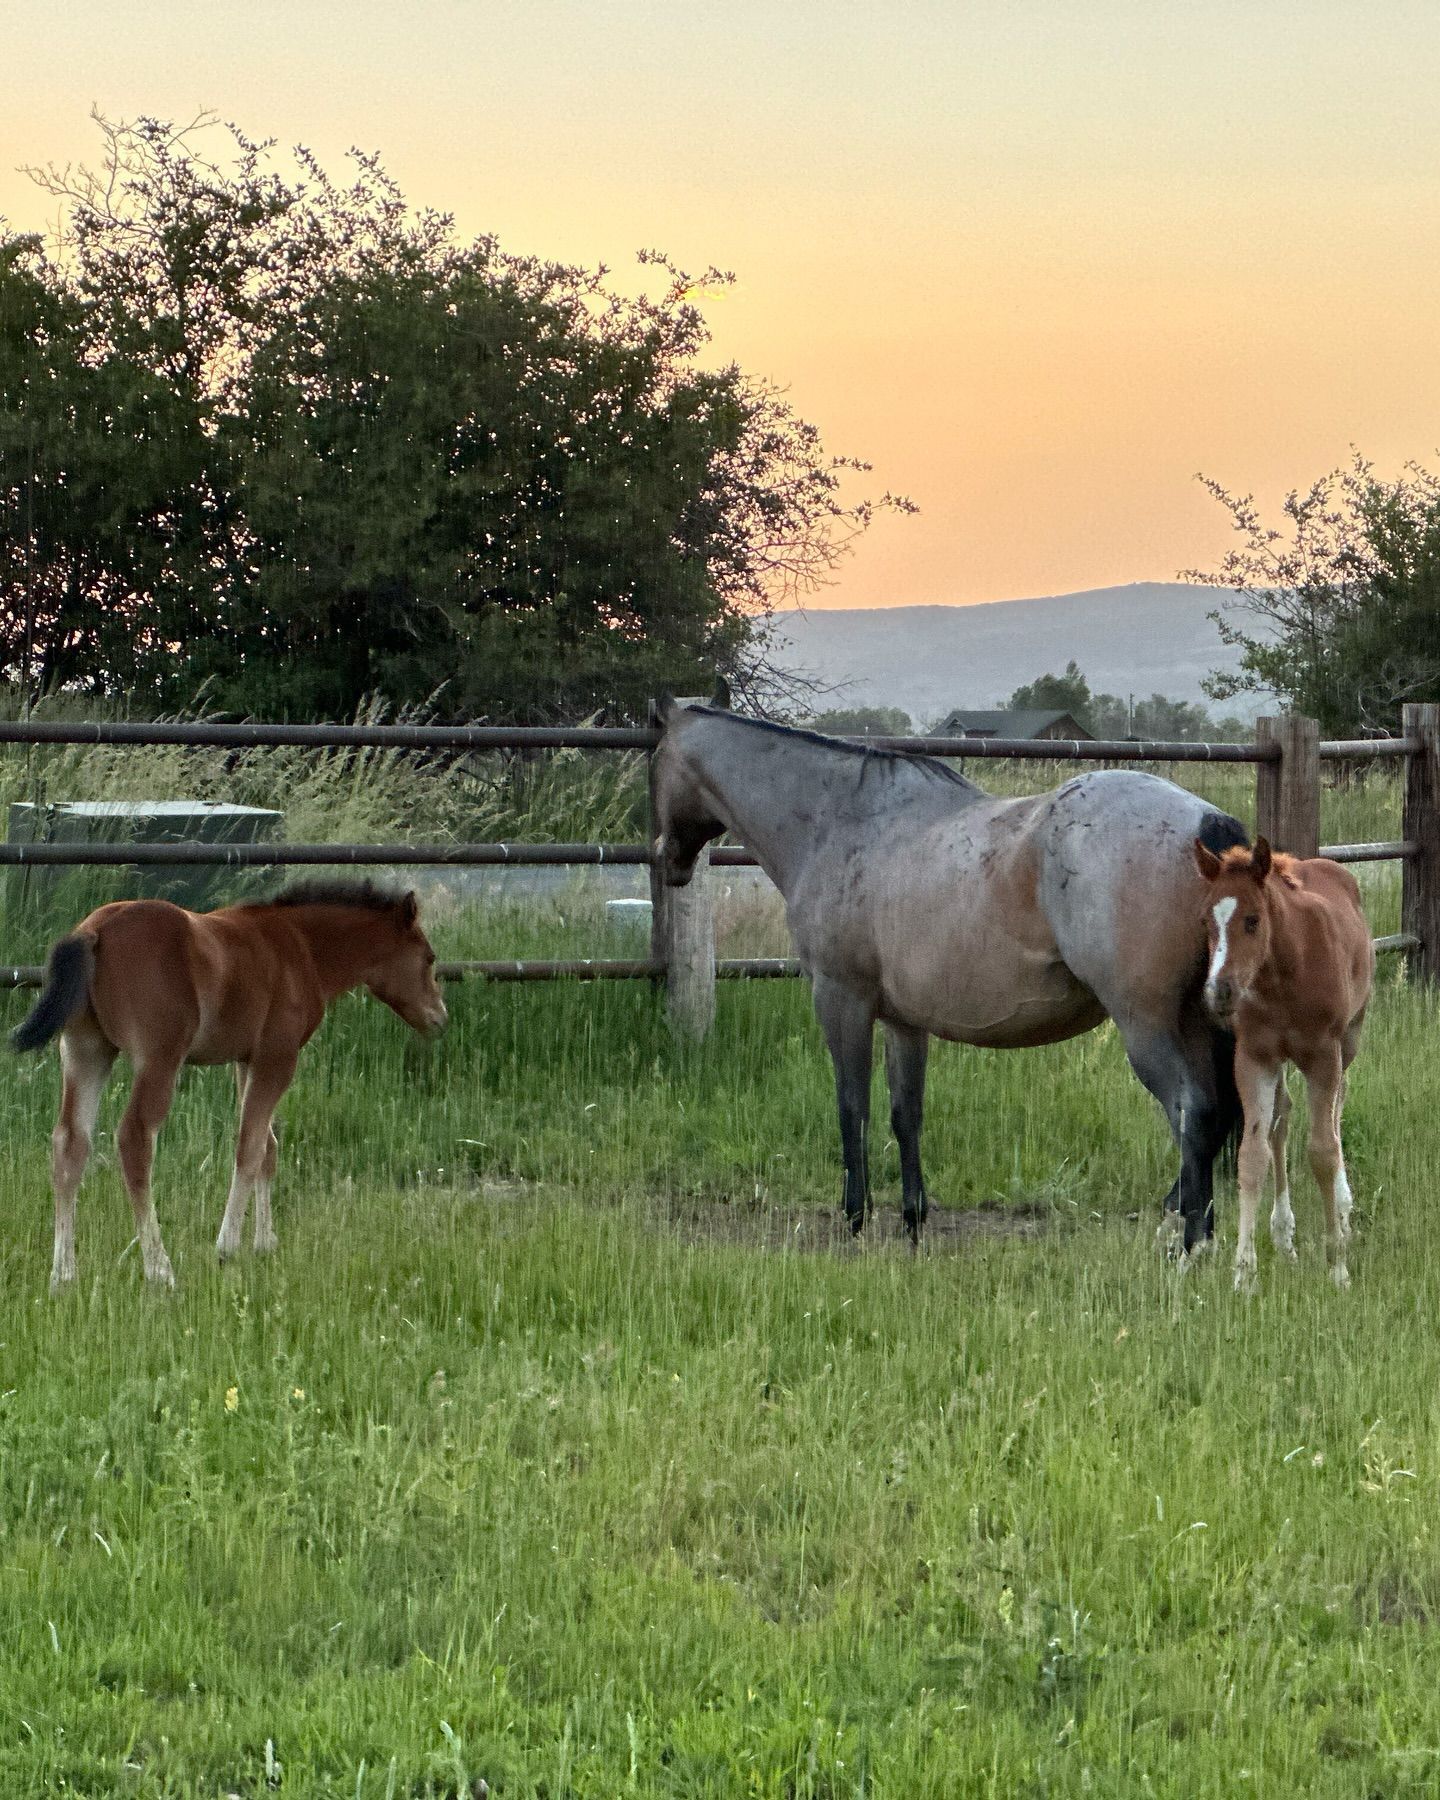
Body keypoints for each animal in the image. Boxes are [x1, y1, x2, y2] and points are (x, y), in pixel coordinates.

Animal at [10, 880, 448, 1291]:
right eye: (429, 958)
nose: (440, 1018)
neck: (300, 946)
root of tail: (95, 930)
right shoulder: (278, 1057)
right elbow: (250, 1147)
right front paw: (228, 1247)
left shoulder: (246, 1059)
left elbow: (268, 1147)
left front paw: (265, 1243)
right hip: (158, 1058)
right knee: (134, 1140)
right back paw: (160, 1270)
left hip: (85, 1050)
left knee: (70, 1143)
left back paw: (63, 1276)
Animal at [651, 692, 1250, 1251]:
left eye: (654, 759)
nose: (666, 859)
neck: (842, 822)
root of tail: (1205, 825)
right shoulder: (904, 1020)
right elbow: (904, 1114)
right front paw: (913, 1220)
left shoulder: (842, 1000)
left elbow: (852, 1109)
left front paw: (855, 1218)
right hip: (1197, 1021)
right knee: (1215, 1115)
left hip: (1145, 1022)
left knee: (1191, 1113)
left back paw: (1188, 1240)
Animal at [1193, 836, 1373, 1292]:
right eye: (1206, 922)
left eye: (1253, 920)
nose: (1219, 991)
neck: (1283, 976)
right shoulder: (1254, 1058)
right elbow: (1252, 1155)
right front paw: (1244, 1272)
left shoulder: (1323, 1056)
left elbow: (1323, 1151)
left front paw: (1337, 1266)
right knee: (1283, 1118)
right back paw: (1283, 1234)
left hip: (1350, 1039)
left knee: (1338, 1108)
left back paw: (1343, 1210)